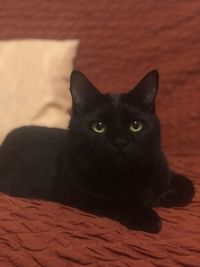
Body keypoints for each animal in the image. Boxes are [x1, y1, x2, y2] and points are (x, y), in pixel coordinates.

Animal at [0, 70, 195, 233]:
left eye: (135, 125)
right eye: (99, 127)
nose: (120, 142)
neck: (127, 175)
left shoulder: (164, 172)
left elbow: (189, 184)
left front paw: (164, 198)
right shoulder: (79, 194)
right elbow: (116, 202)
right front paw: (147, 218)